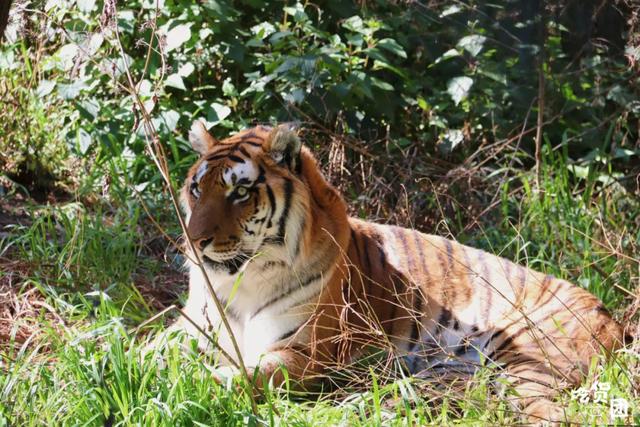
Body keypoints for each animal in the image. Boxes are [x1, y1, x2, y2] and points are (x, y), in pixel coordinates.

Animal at [160, 120, 624, 424]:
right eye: (197, 188)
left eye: (240, 191)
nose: (194, 240)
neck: (240, 282)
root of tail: (615, 320)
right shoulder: (188, 330)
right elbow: (150, 349)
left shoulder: (303, 351)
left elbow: (241, 377)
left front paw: (192, 388)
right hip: (448, 373)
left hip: (527, 358)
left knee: (547, 412)